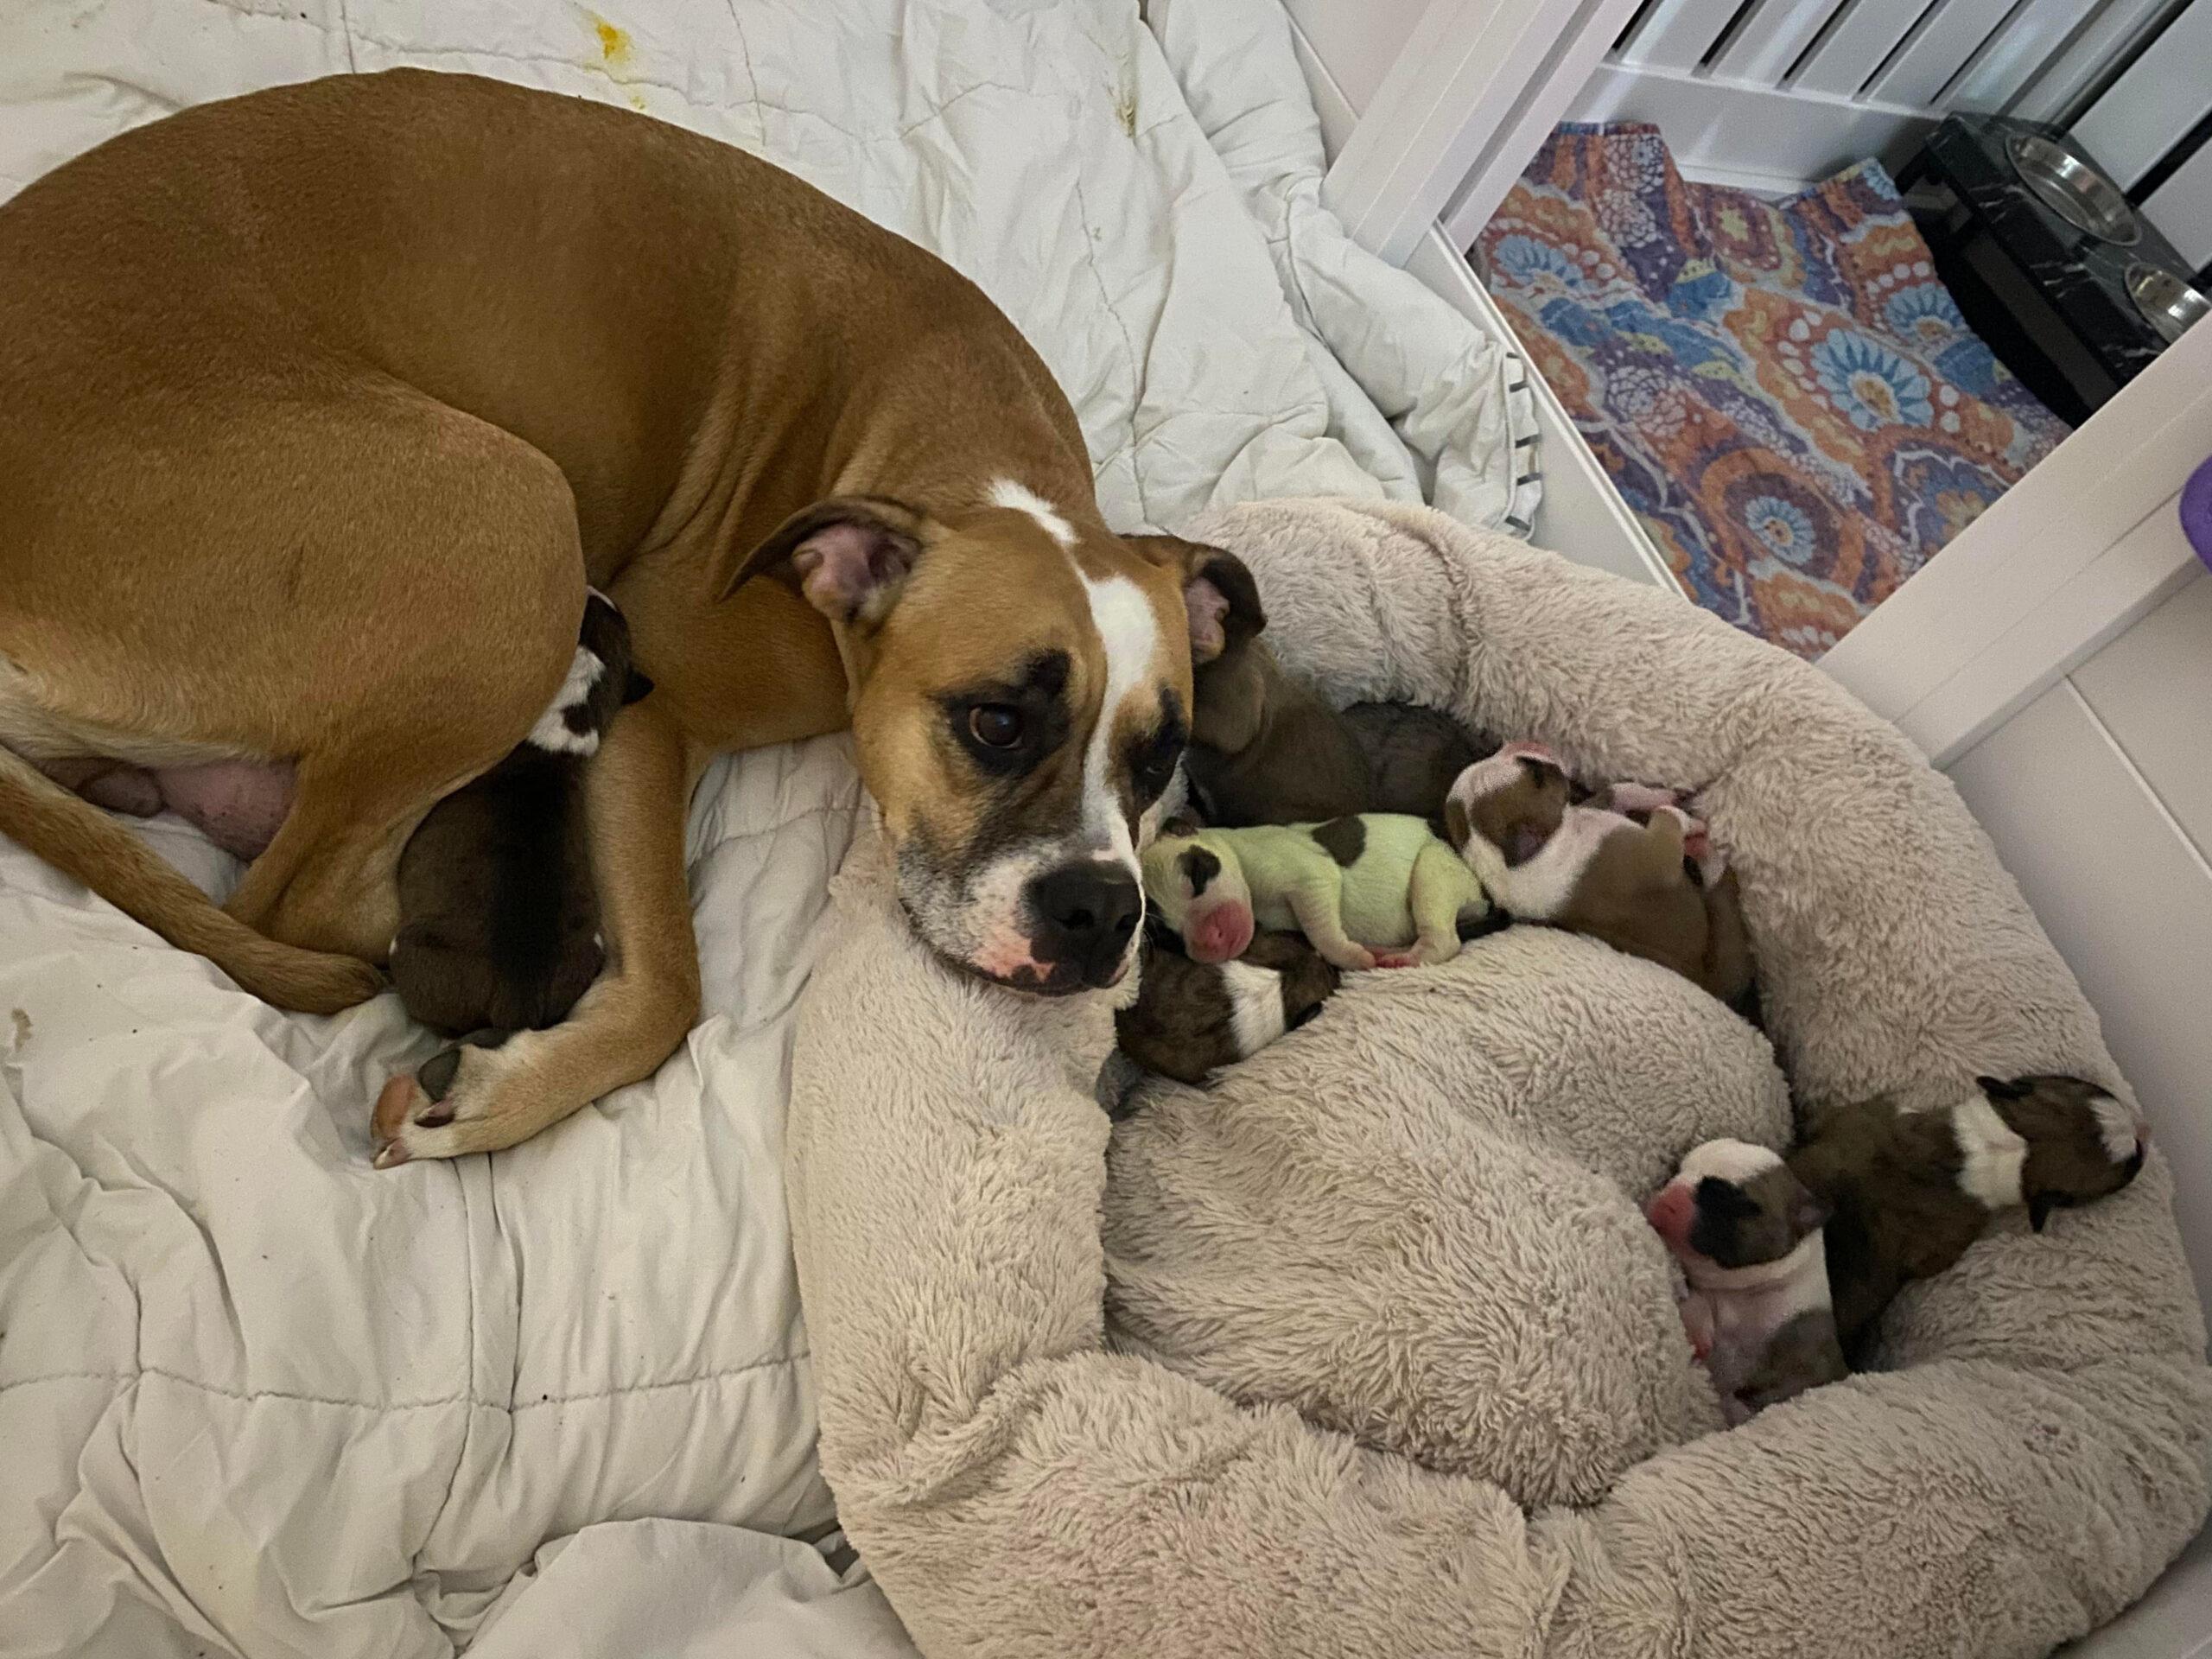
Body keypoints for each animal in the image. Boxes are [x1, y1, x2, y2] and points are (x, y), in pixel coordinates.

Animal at [0, 74, 1256, 1167]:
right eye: (995, 722)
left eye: (1161, 758)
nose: (1099, 913)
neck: (953, 457)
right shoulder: (657, 719)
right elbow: (670, 992)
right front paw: (501, 1096)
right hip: (512, 518)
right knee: (288, 901)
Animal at [1141, 814, 1486, 973]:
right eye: (1169, 936)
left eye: (1197, 877)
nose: (1210, 940)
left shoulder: (1311, 878)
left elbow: (1322, 932)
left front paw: (1352, 957)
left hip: (1436, 869)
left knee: (1444, 939)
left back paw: (1407, 958)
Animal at [1645, 1141, 1849, 1433]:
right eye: (1677, 1170)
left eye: (1737, 1203)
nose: (1669, 1198)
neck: (1743, 1296)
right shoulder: (1710, 1297)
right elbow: (1696, 1304)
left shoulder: (1808, 1358)